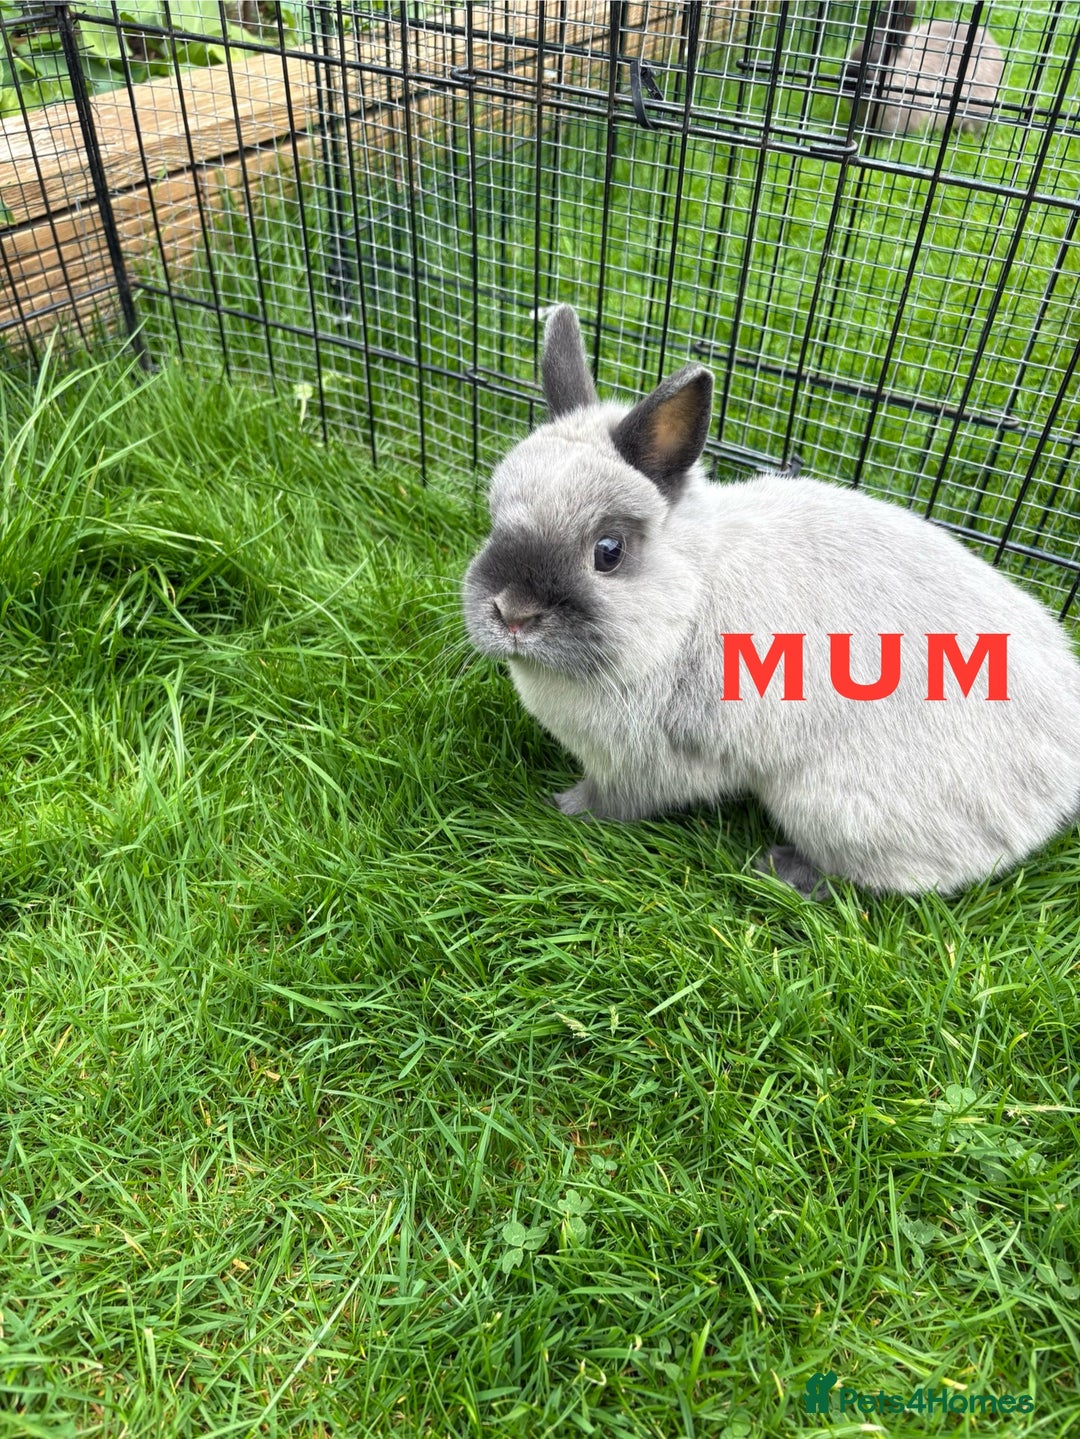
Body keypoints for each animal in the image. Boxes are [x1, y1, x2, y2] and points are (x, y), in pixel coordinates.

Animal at [461, 306, 1080, 898]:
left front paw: (565, 807)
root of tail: (1061, 782)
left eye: (608, 552)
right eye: (492, 519)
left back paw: (781, 869)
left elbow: (615, 800)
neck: (688, 598)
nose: (512, 614)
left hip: (832, 807)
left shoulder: (647, 764)